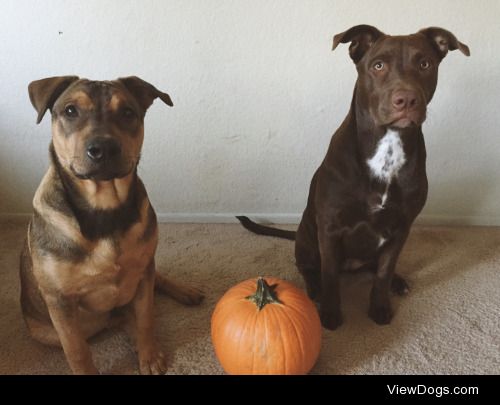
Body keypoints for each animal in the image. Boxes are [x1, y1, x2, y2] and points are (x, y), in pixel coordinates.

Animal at [19, 75, 203, 372]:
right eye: (70, 110)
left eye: (127, 112)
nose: (104, 148)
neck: (104, 207)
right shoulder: (59, 300)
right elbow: (77, 350)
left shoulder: (142, 270)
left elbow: (146, 319)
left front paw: (149, 355)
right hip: (46, 331)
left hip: (146, 269)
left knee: (155, 284)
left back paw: (186, 292)